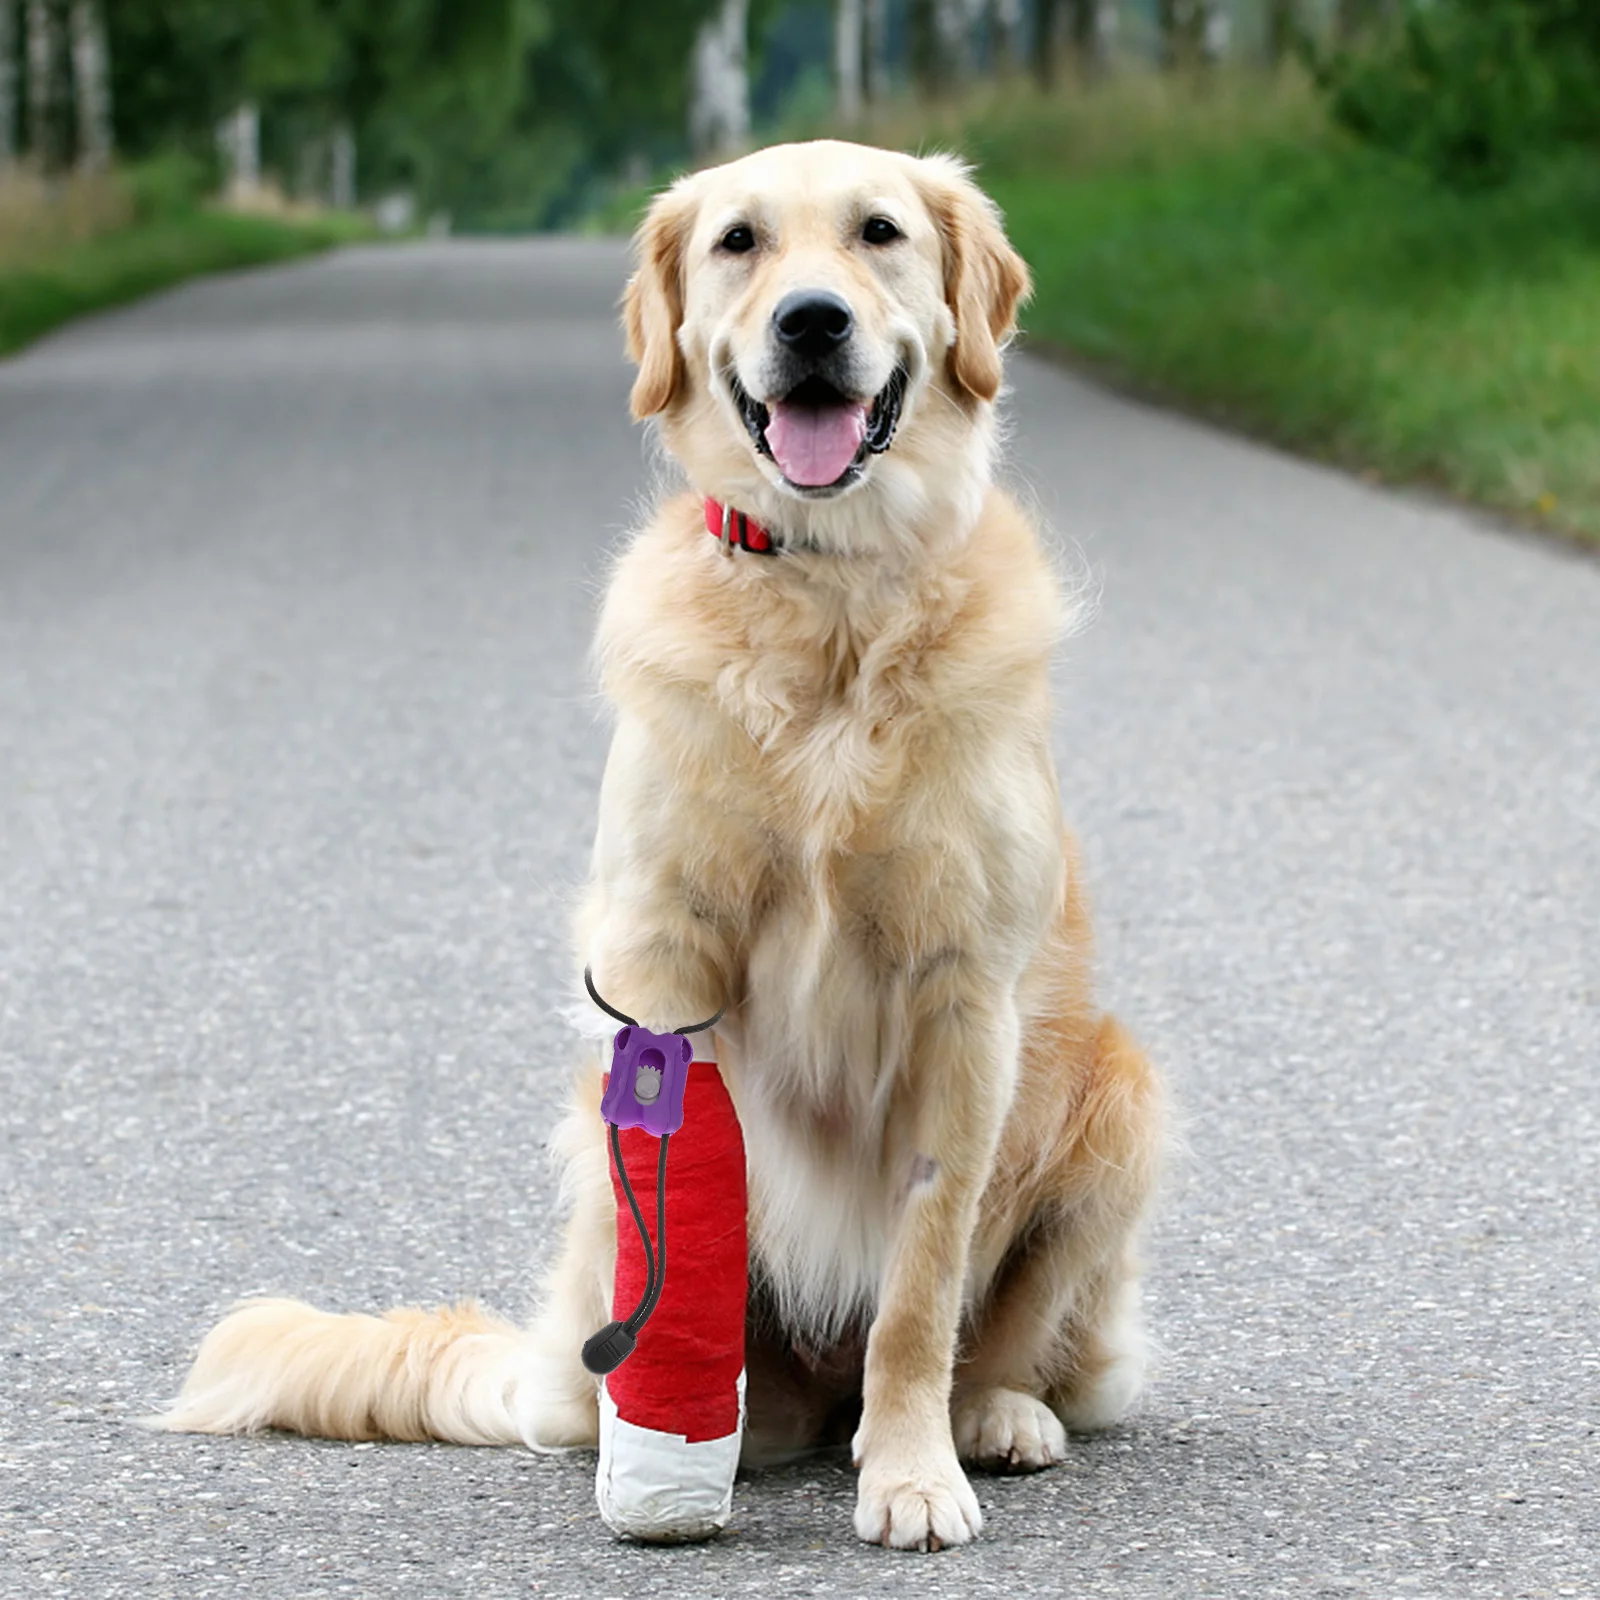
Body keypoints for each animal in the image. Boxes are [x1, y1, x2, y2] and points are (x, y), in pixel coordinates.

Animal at [159, 140, 1164, 1548]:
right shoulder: (662, 962)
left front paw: (912, 1472)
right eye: (741, 241)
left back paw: (993, 1417)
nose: (812, 322)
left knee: (1010, 1343)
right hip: (600, 1168)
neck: (830, 599)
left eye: (879, 233)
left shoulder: (963, 999)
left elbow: (920, 1287)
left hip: (1124, 1098)